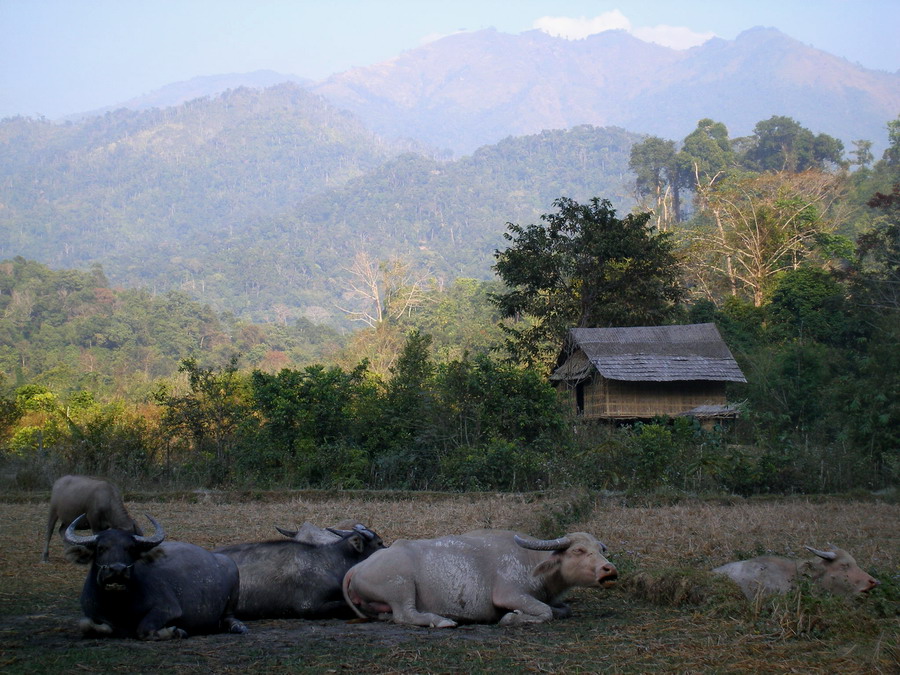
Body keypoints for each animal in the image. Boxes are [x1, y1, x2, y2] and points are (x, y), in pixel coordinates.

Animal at [63, 516, 248, 640]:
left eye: (131, 548)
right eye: (101, 548)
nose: (117, 569)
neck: (118, 603)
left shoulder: (167, 608)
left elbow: (144, 629)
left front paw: (175, 631)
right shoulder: (92, 614)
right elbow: (87, 625)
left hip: (234, 583)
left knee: (228, 616)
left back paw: (238, 626)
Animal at [342, 528, 620, 628]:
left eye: (599, 549)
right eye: (578, 550)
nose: (609, 570)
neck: (532, 562)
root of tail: (358, 568)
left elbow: (562, 609)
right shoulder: (509, 594)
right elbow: (546, 611)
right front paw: (511, 617)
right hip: (401, 587)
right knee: (405, 615)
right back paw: (442, 621)